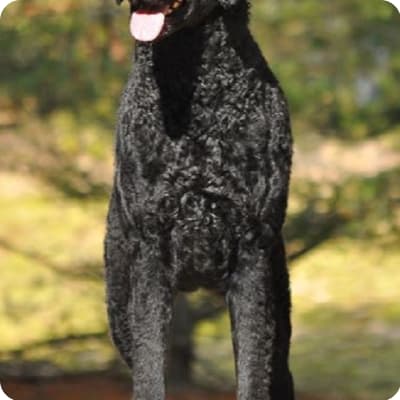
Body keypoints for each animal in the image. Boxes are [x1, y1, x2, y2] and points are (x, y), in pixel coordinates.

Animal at [104, 0, 296, 396]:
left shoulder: (251, 252)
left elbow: (253, 373)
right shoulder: (150, 251)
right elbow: (149, 373)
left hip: (279, 310)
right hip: (119, 302)